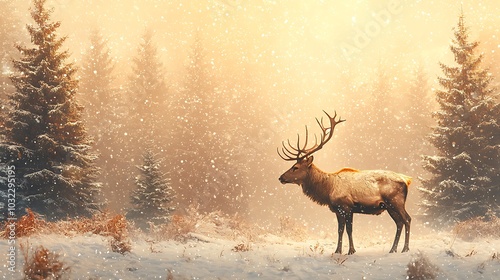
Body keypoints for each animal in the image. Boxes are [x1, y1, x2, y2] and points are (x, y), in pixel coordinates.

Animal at [278, 110, 410, 255]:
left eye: (295, 167)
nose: (281, 177)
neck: (328, 190)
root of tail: (407, 180)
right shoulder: (337, 209)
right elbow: (340, 230)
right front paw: (337, 251)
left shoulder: (346, 206)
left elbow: (348, 230)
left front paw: (351, 251)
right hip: (389, 206)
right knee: (399, 223)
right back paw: (393, 249)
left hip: (396, 201)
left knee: (407, 219)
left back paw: (405, 249)